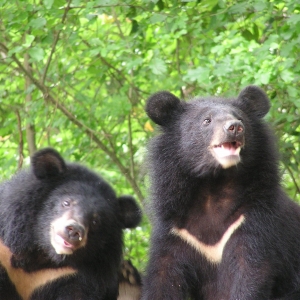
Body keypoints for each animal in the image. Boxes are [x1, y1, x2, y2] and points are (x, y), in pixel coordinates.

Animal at [0, 148, 142, 300]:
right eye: (66, 202)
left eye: (95, 221)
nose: (74, 230)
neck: (42, 255)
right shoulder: (5, 251)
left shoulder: (66, 275)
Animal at [142, 85, 300, 298]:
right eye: (206, 120)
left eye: (240, 118)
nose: (234, 127)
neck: (213, 186)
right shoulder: (175, 231)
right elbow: (163, 278)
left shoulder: (254, 222)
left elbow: (251, 272)